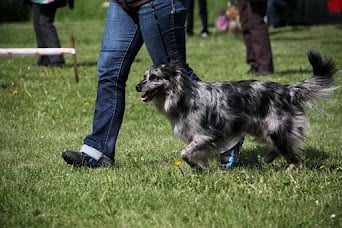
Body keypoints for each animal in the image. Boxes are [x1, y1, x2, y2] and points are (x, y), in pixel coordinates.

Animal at [136, 50, 336, 171]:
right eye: (144, 77)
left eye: (154, 77)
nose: (137, 86)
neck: (183, 96)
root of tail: (288, 90)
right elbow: (192, 153)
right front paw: (200, 167)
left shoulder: (206, 135)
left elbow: (184, 153)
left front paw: (197, 166)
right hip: (263, 129)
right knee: (279, 148)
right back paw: (268, 159)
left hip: (276, 129)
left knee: (294, 157)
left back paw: (289, 170)